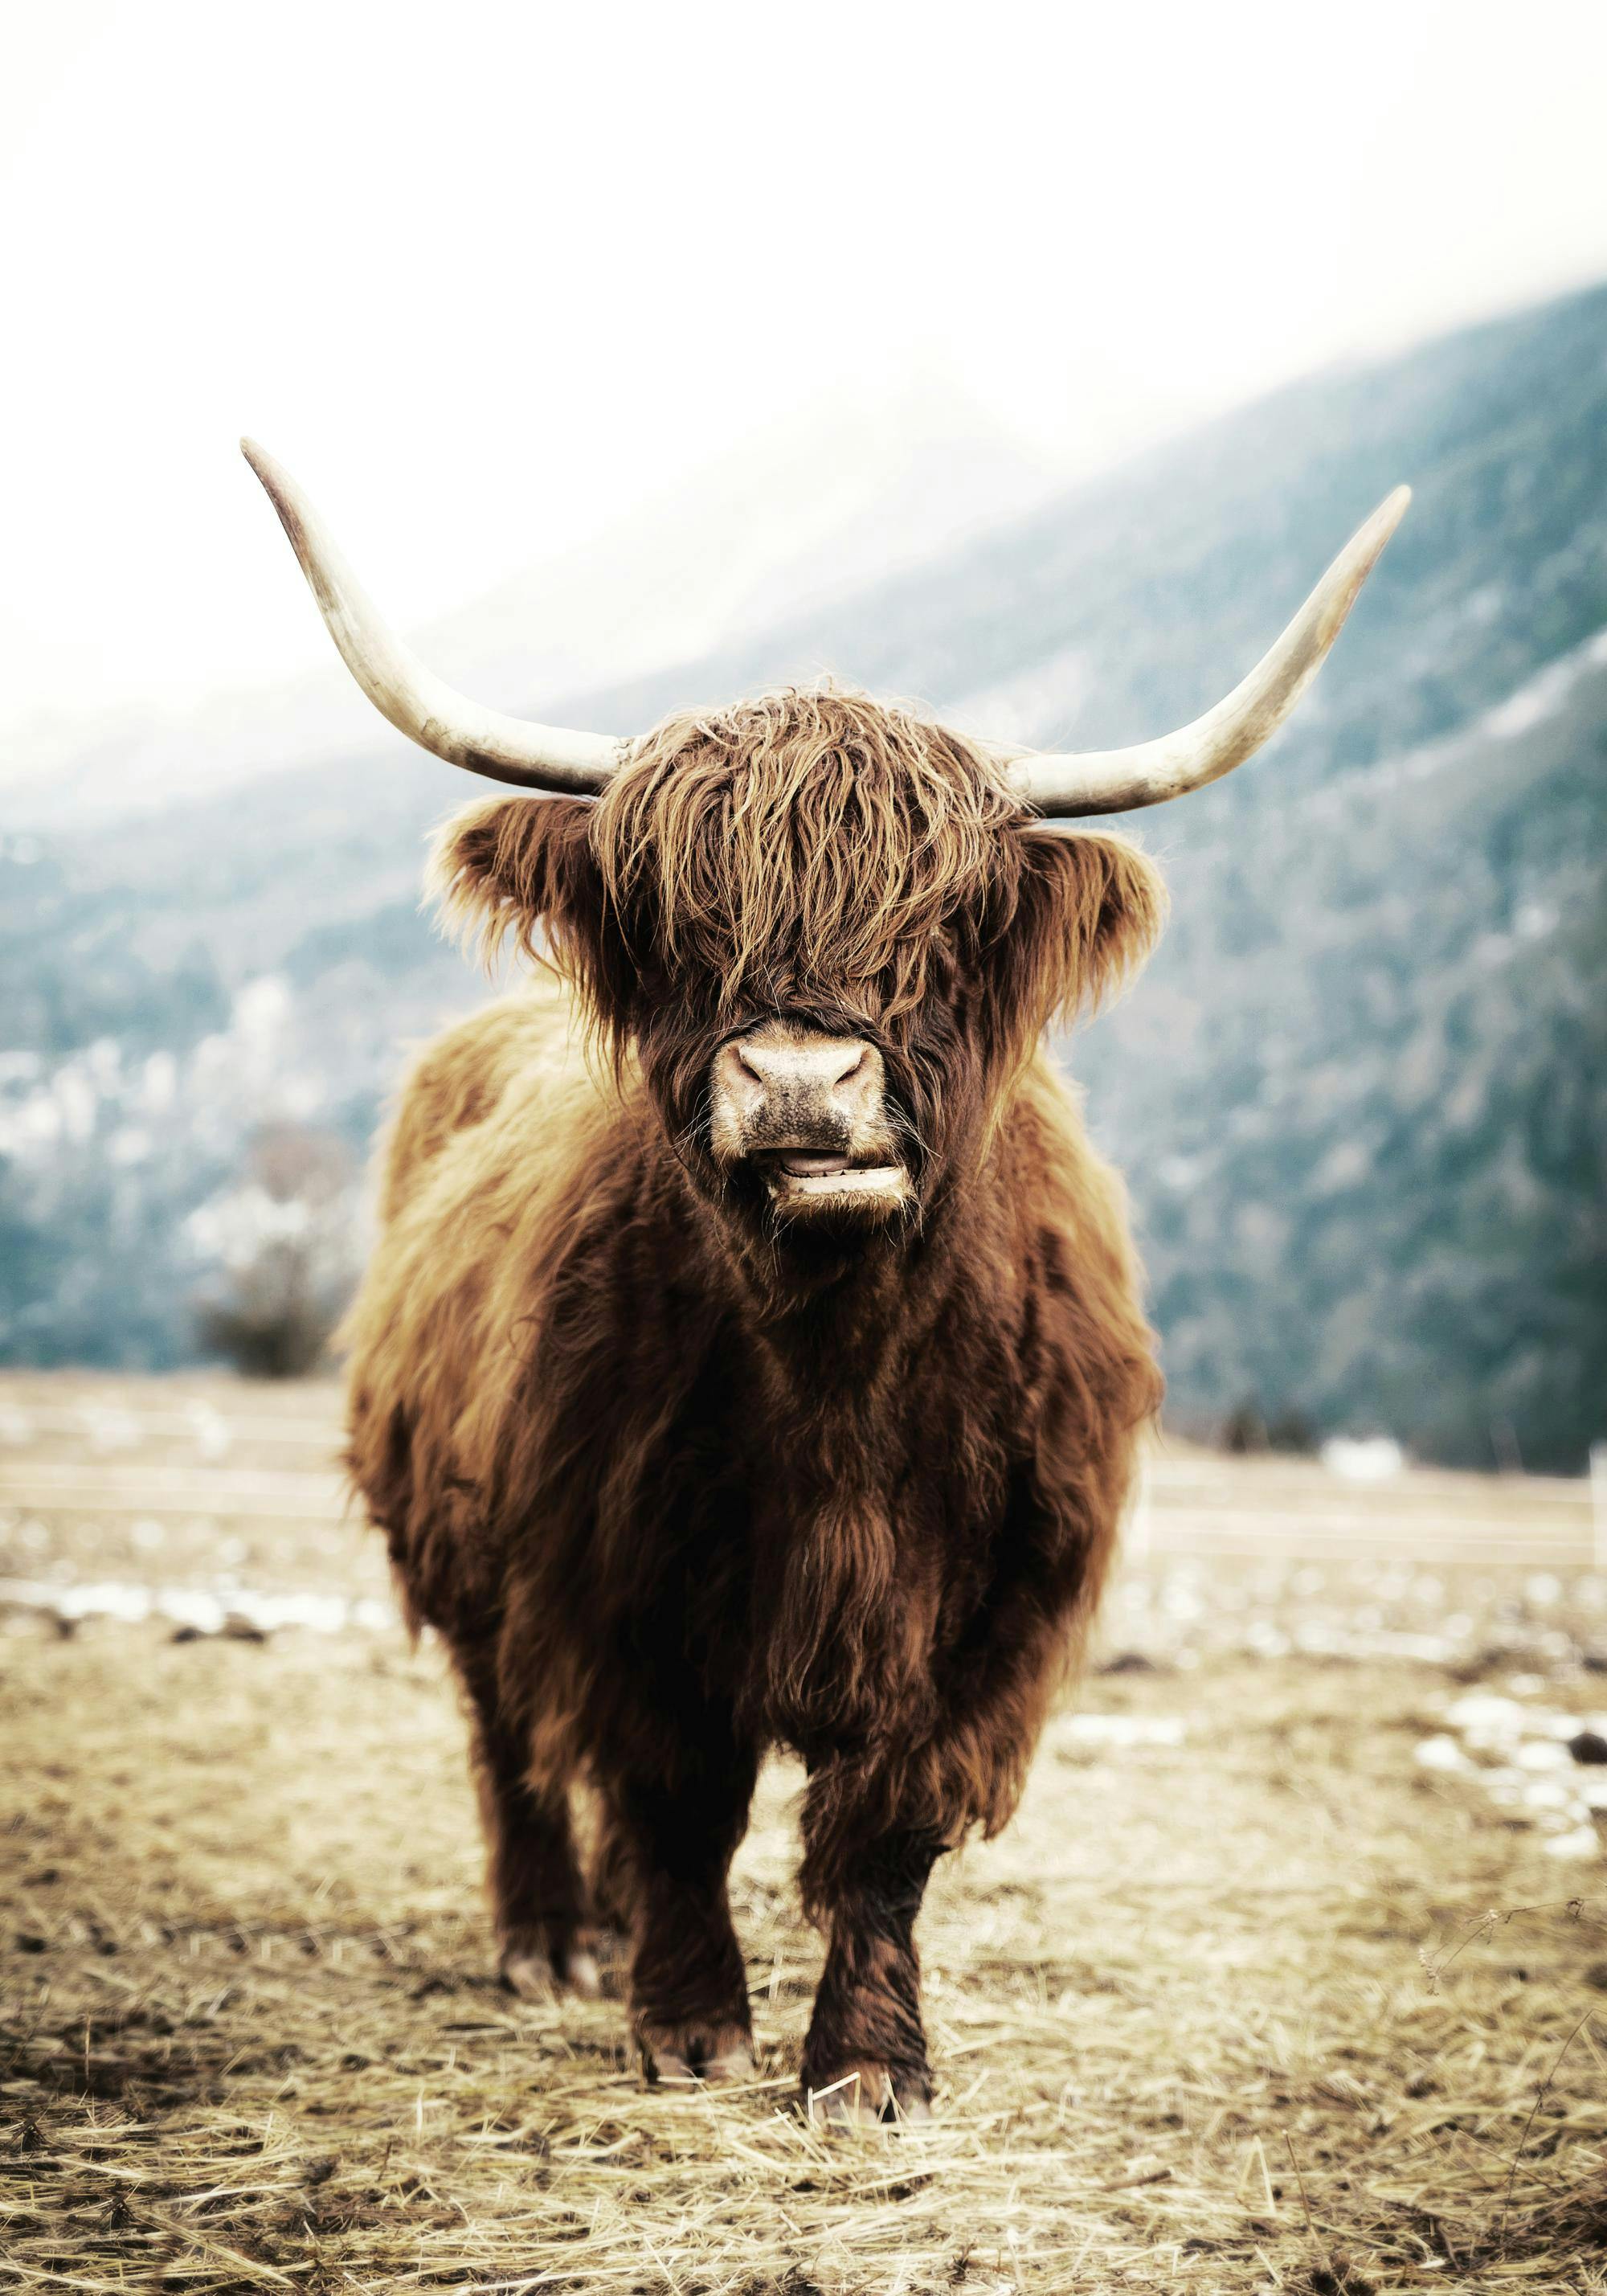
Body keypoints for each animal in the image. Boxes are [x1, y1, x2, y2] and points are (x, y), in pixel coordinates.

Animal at [243, 441, 1406, 2121]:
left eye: (944, 926)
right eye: (678, 924)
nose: (800, 1081)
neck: (839, 1370)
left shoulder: (998, 1613)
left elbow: (887, 1831)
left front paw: (866, 2062)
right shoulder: (612, 1572)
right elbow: (672, 1794)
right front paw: (688, 2026)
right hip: (457, 1541)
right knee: (509, 1733)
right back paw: (552, 1935)